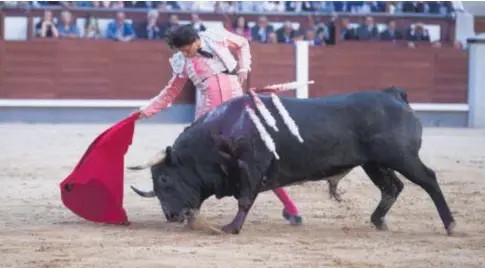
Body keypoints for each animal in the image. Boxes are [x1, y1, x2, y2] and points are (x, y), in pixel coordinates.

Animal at [127, 87, 454, 236]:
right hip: (374, 163)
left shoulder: (251, 168)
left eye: (164, 180)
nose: (171, 215)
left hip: (401, 156)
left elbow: (245, 200)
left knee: (428, 179)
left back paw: (450, 224)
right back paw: (378, 221)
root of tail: (394, 95)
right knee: (392, 188)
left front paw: (231, 227)